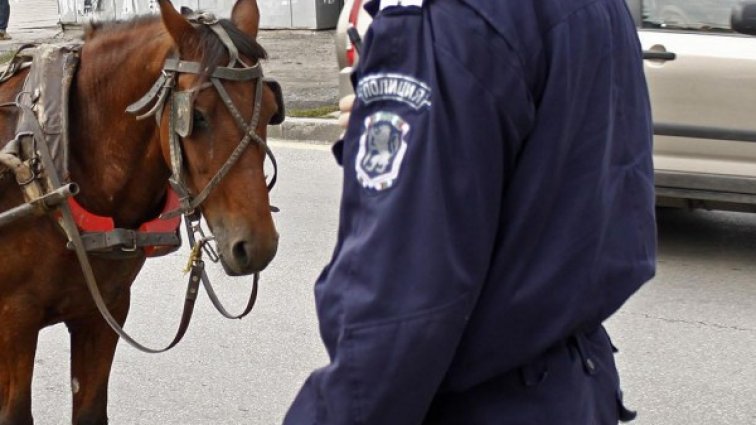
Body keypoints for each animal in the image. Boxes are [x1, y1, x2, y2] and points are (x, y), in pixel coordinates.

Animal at [0, 1, 280, 422]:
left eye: (272, 112)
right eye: (197, 116)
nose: (258, 245)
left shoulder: (104, 310)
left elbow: (91, 409)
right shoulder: (14, 321)